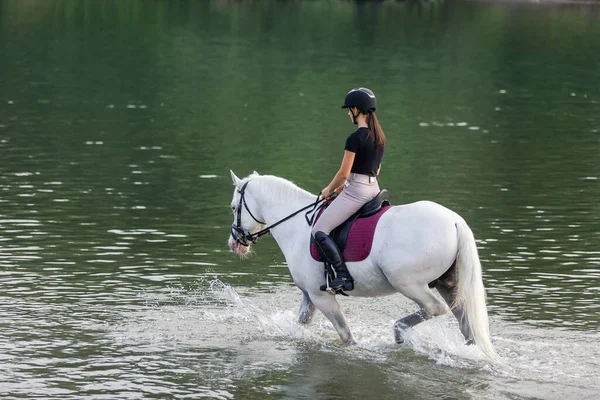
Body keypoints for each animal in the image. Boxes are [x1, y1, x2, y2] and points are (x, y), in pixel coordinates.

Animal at [227, 170, 500, 360]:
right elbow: (301, 324)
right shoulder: (309, 295)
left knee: (435, 308)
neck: (295, 225)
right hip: (448, 284)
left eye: (233, 207)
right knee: (466, 324)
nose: (234, 243)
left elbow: (346, 336)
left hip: (407, 282)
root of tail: (454, 221)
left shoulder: (321, 296)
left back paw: (399, 331)